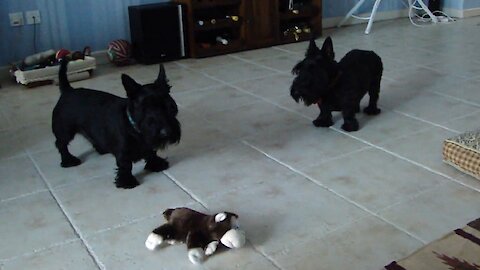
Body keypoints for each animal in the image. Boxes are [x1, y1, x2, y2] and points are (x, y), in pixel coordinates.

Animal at [51, 60, 181, 189]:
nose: (166, 132)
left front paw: (156, 163)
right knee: (61, 144)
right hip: (65, 130)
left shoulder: (148, 143)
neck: (134, 128)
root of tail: (68, 90)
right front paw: (127, 181)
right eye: (145, 108)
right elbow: (125, 165)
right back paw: (68, 160)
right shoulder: (123, 151)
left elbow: (151, 152)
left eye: (171, 107)